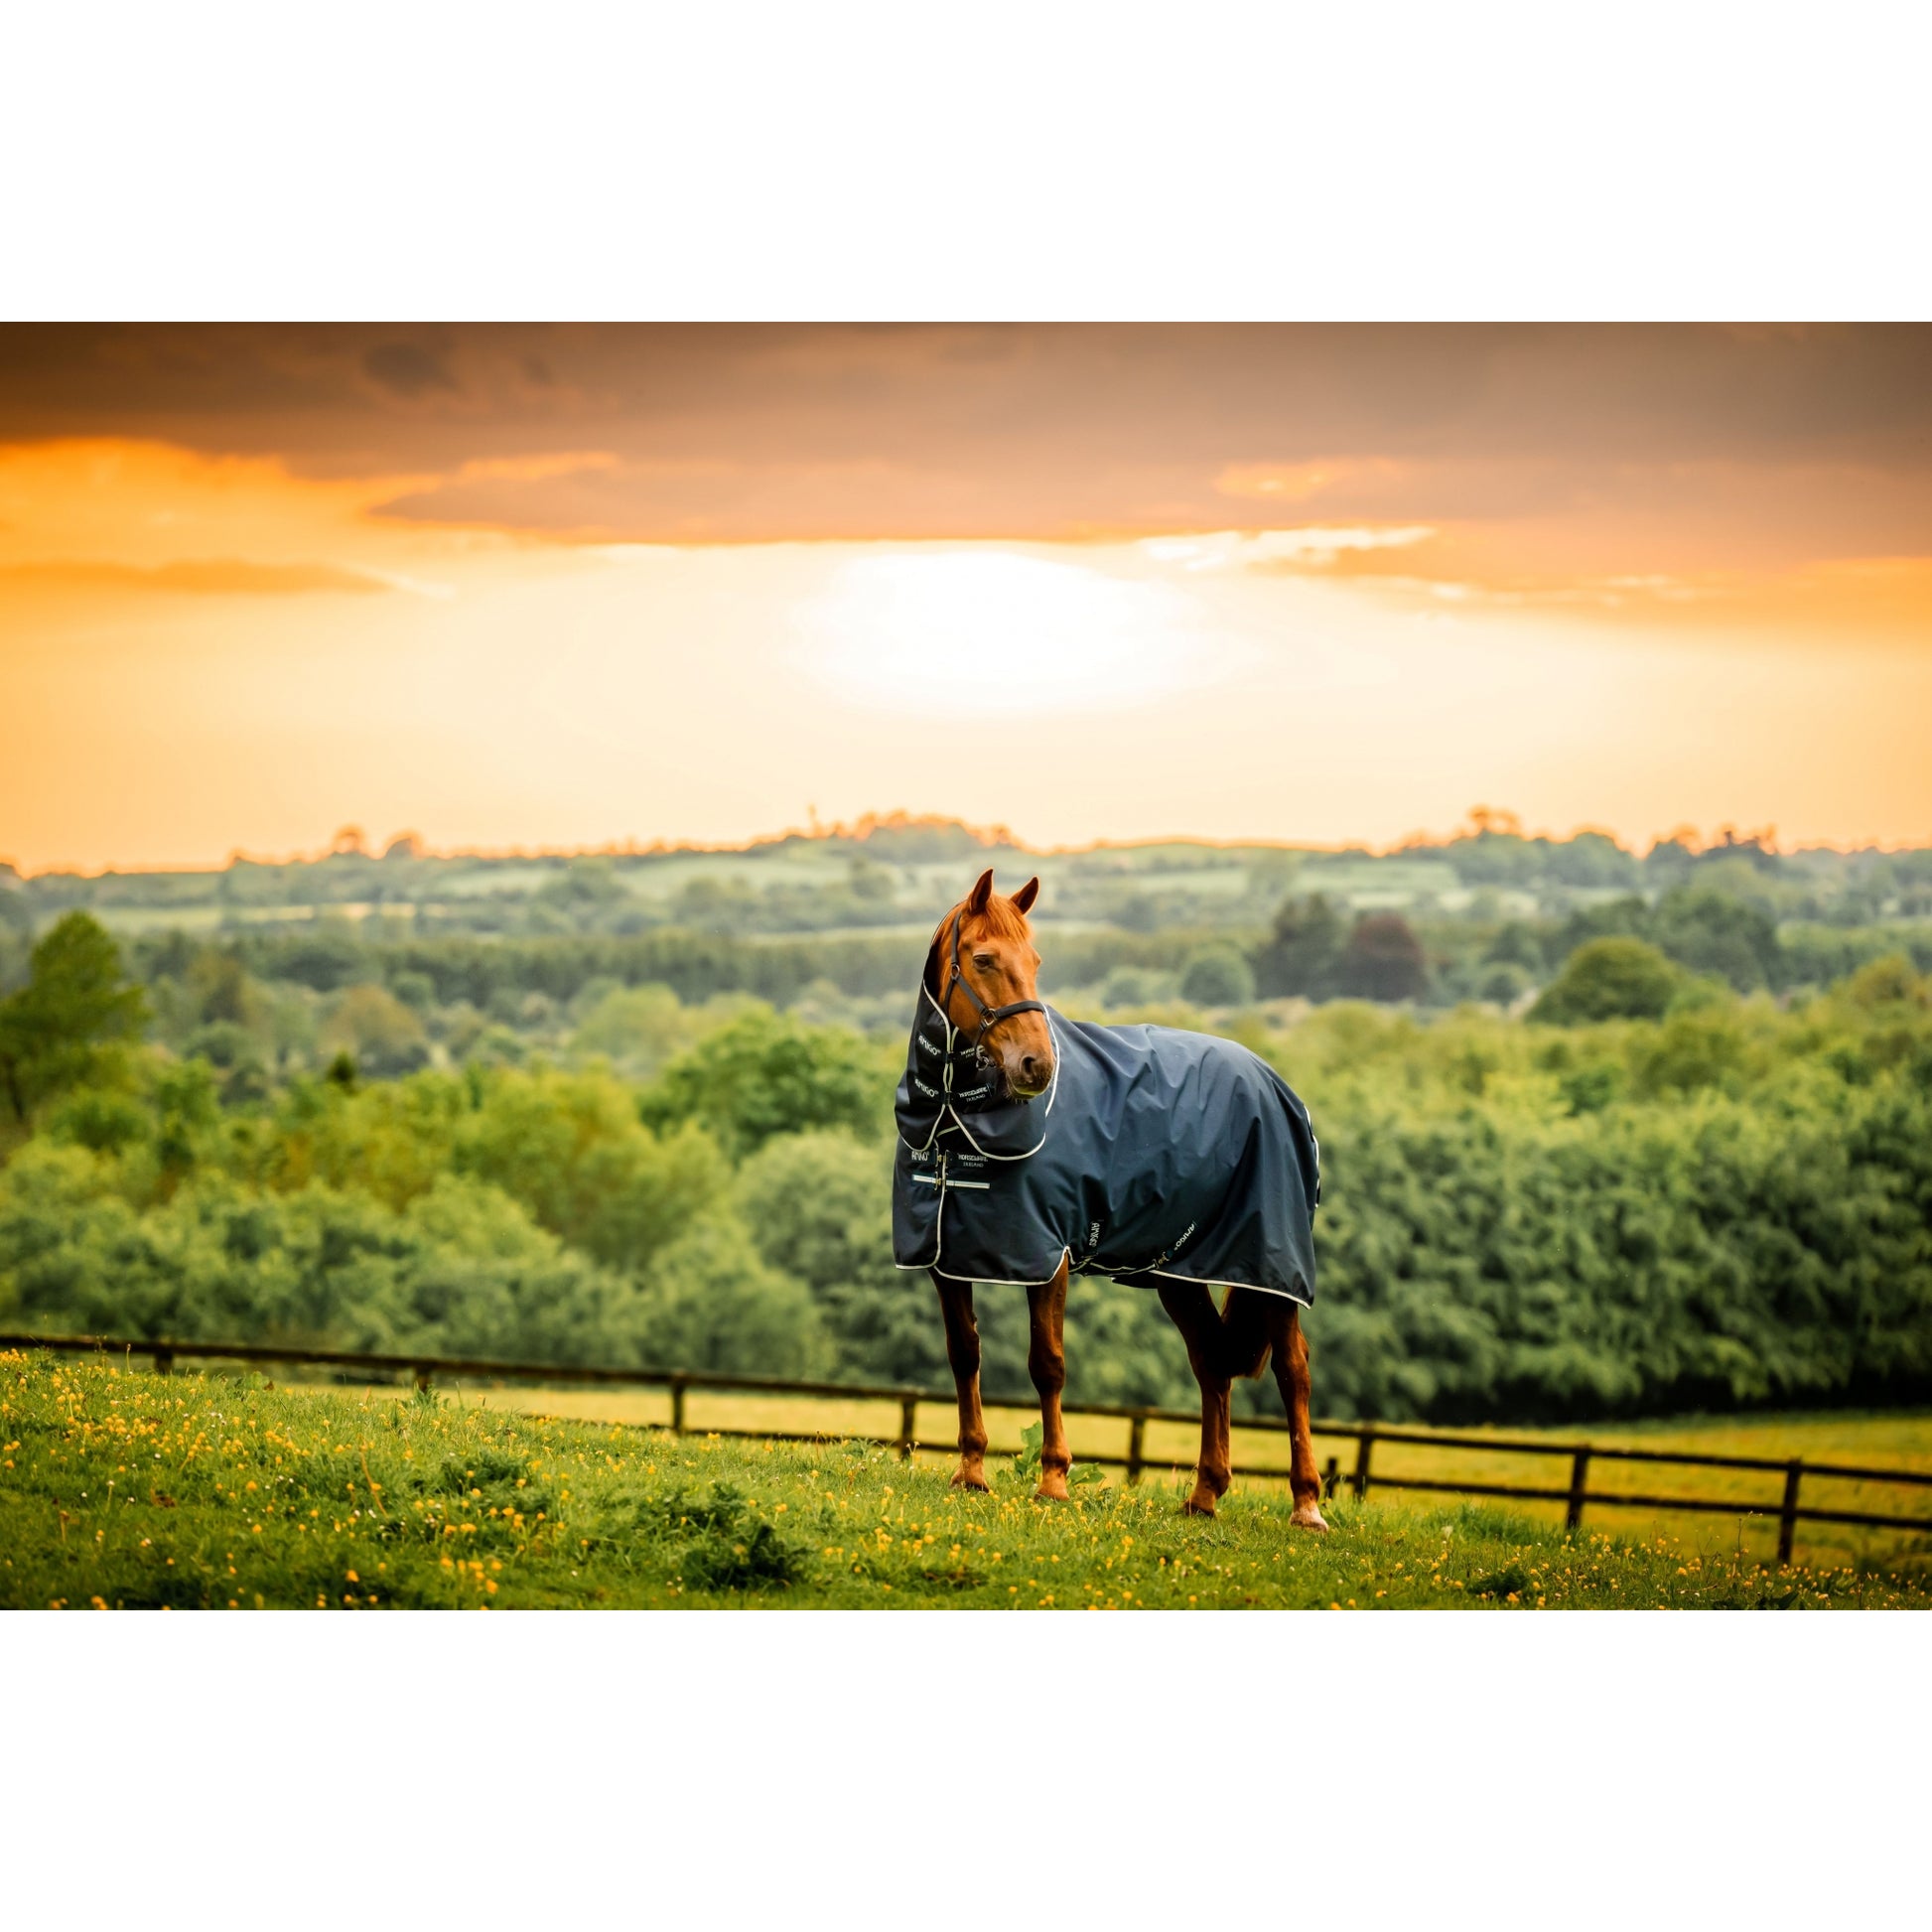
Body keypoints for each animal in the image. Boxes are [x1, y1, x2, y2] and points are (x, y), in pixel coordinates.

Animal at [892, 867, 1329, 1529]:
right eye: (985, 959)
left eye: (1035, 961)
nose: (1037, 1066)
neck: (953, 1123)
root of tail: (1277, 1086)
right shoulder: (947, 1257)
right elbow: (964, 1354)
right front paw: (970, 1472)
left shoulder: (1049, 1258)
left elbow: (1047, 1364)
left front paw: (1053, 1480)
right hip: (1179, 1272)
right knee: (1211, 1363)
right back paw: (1205, 1494)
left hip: (1271, 1268)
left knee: (1292, 1370)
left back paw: (1306, 1505)